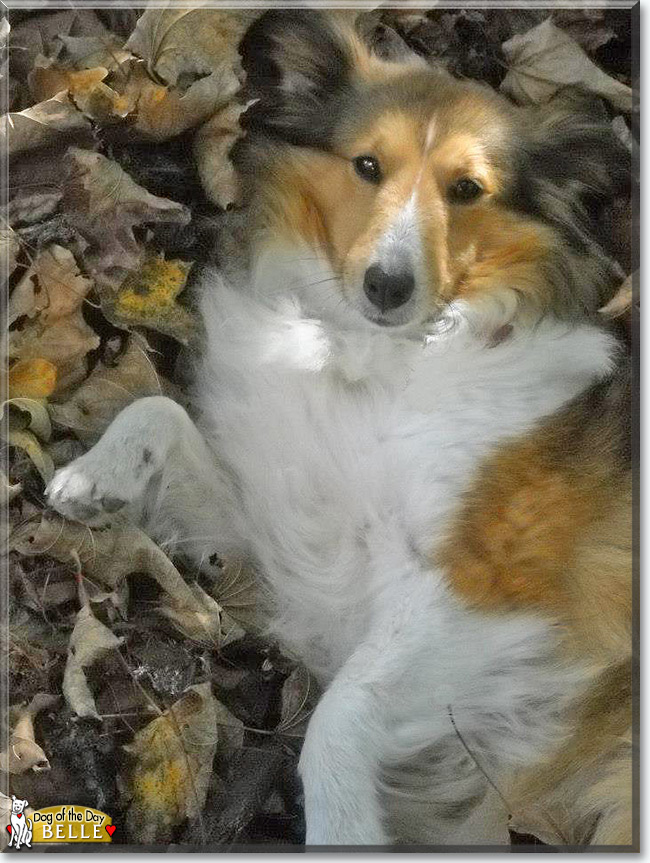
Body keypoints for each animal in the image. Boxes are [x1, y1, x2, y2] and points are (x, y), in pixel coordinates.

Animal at [46, 10, 632, 848]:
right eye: (367, 165)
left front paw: (342, 818)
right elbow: (157, 409)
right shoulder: (278, 530)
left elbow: (341, 710)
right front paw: (97, 474)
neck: (372, 358)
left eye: (466, 189)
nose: (388, 285)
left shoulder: (487, 587)